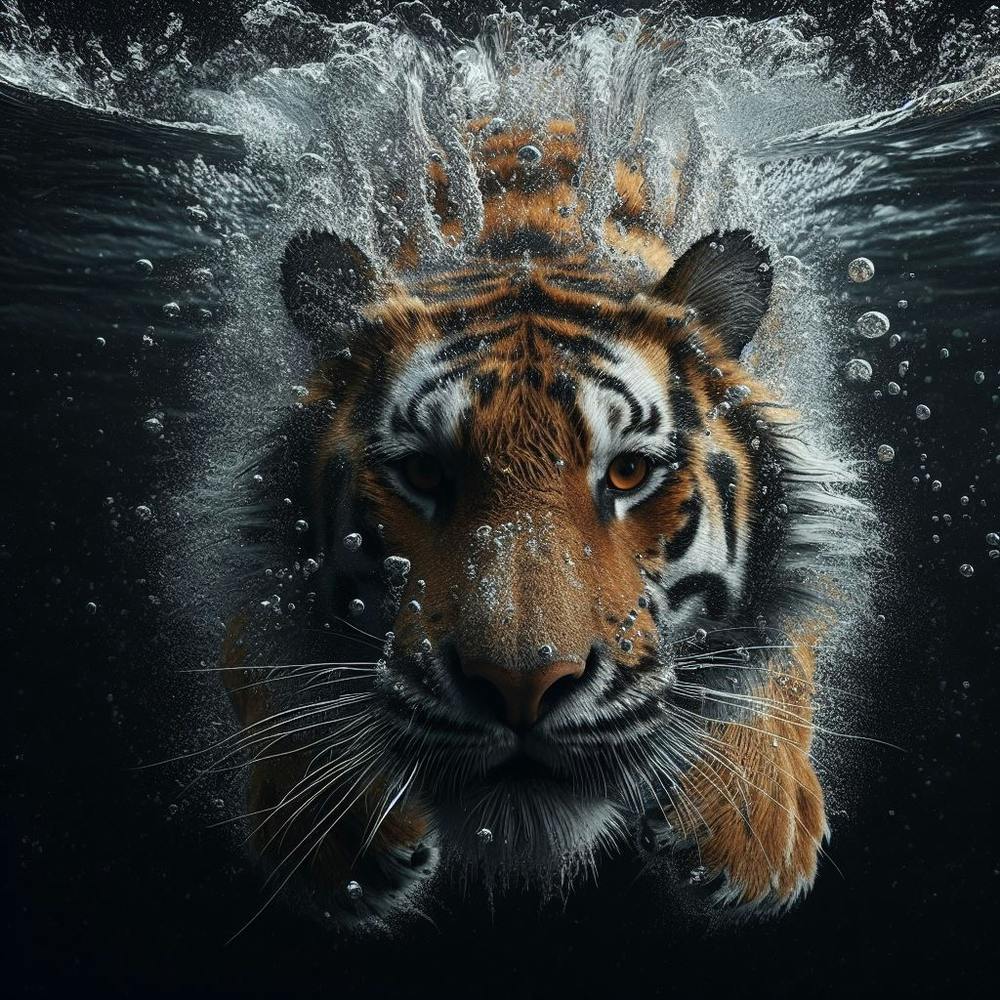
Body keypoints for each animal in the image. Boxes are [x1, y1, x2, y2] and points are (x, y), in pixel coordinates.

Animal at [218, 115, 868, 927]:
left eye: (627, 473)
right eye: (424, 474)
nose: (521, 685)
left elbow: (784, 641)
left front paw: (748, 825)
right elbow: (264, 645)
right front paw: (334, 831)